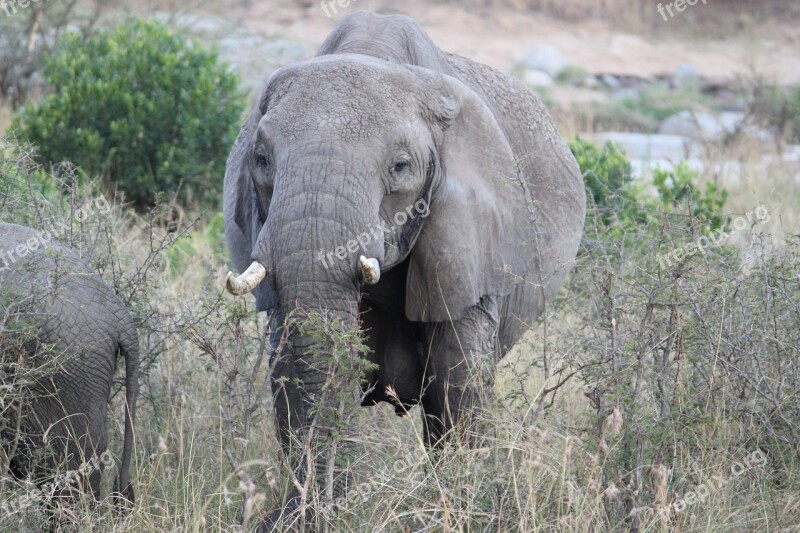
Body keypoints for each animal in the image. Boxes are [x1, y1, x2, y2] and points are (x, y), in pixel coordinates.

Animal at [222, 9, 584, 520]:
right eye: (260, 159)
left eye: (400, 167)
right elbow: (288, 365)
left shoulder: (470, 237)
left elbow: (458, 377)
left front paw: (457, 508)